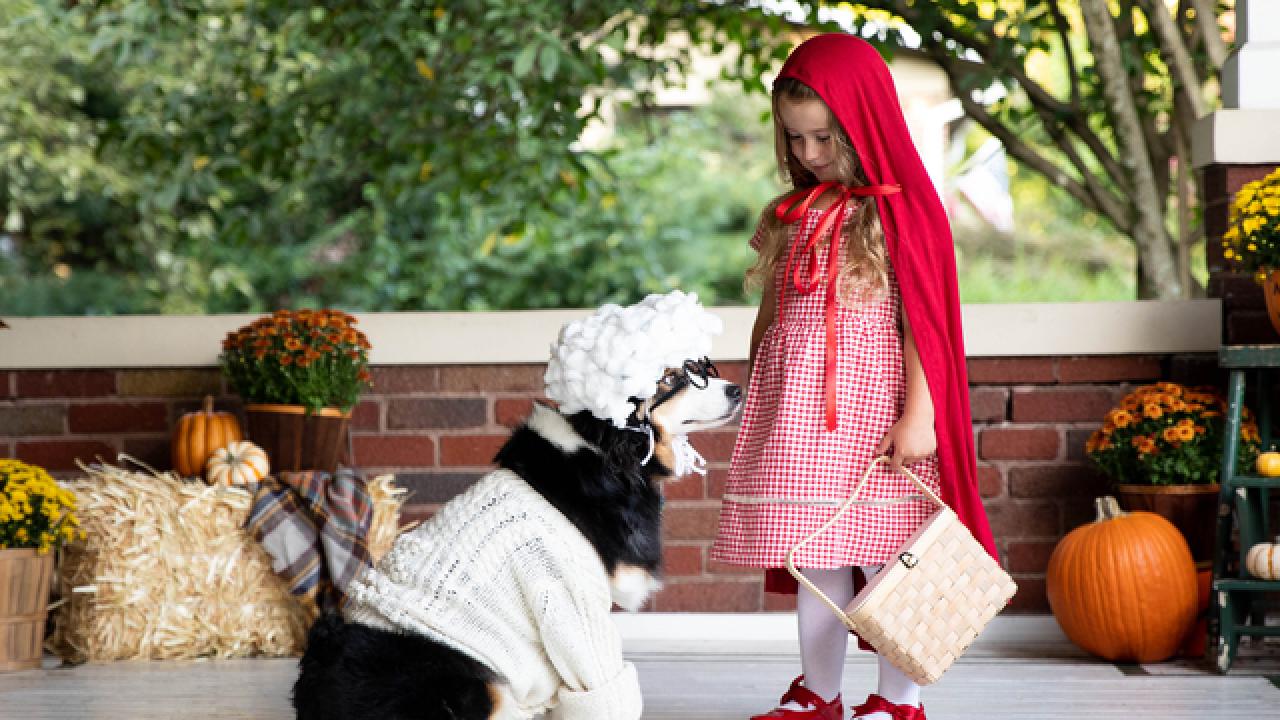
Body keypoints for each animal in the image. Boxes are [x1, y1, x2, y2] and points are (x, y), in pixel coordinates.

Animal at [294, 289, 747, 717]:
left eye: (700, 367)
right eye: (669, 379)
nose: (737, 389)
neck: (607, 453)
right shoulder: (573, 601)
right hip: (470, 683)